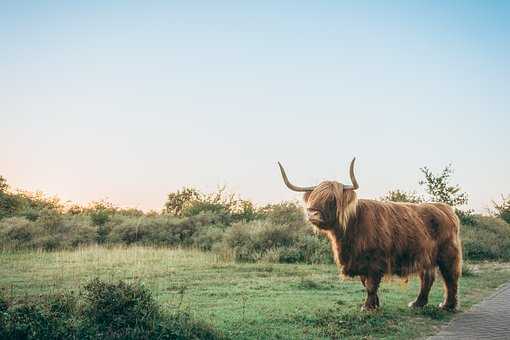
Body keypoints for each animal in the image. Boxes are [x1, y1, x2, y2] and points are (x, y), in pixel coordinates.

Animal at [278, 159, 462, 310]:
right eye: (313, 198)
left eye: (332, 199)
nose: (312, 214)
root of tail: (444, 208)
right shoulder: (359, 261)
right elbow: (366, 283)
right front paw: (375, 304)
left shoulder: (375, 261)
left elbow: (371, 285)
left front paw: (367, 307)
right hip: (425, 255)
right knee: (427, 277)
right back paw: (418, 303)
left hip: (447, 253)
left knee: (450, 276)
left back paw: (447, 305)